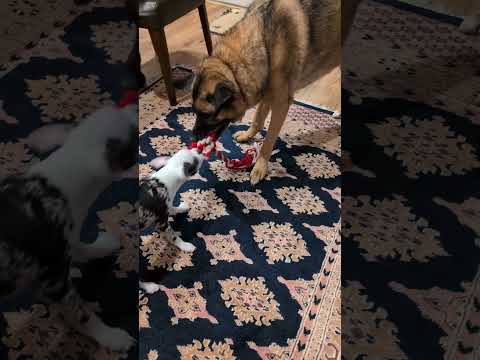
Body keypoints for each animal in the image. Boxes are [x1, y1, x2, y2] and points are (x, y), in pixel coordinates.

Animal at [0, 104, 139, 352]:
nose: (134, 104)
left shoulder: (68, 240)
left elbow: (81, 247)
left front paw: (103, 246)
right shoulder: (54, 281)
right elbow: (82, 315)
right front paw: (112, 338)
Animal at [141, 148, 204, 294]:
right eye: (195, 161)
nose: (199, 149)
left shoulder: (168, 206)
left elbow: (173, 208)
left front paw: (181, 207)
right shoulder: (162, 223)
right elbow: (174, 236)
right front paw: (185, 246)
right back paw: (149, 286)